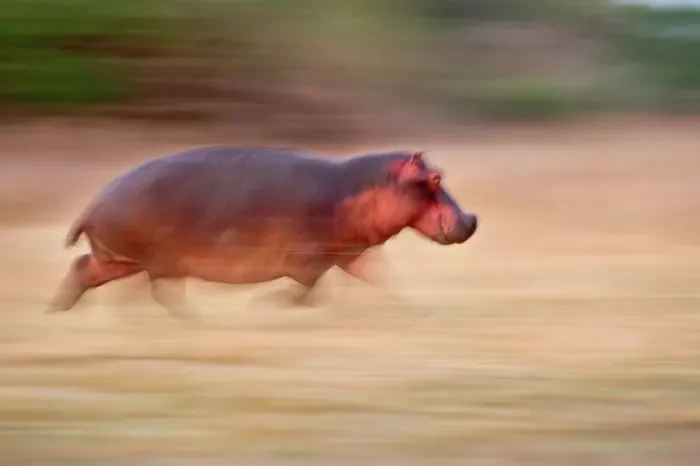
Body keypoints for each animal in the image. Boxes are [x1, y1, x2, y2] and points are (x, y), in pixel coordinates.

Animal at [48, 146, 477, 317]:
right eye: (435, 178)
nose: (472, 219)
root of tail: (93, 203)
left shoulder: (352, 256)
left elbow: (387, 279)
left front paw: (423, 312)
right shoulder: (309, 260)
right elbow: (308, 292)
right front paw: (263, 306)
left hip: (126, 260)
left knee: (84, 270)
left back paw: (56, 311)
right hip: (148, 259)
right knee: (158, 293)